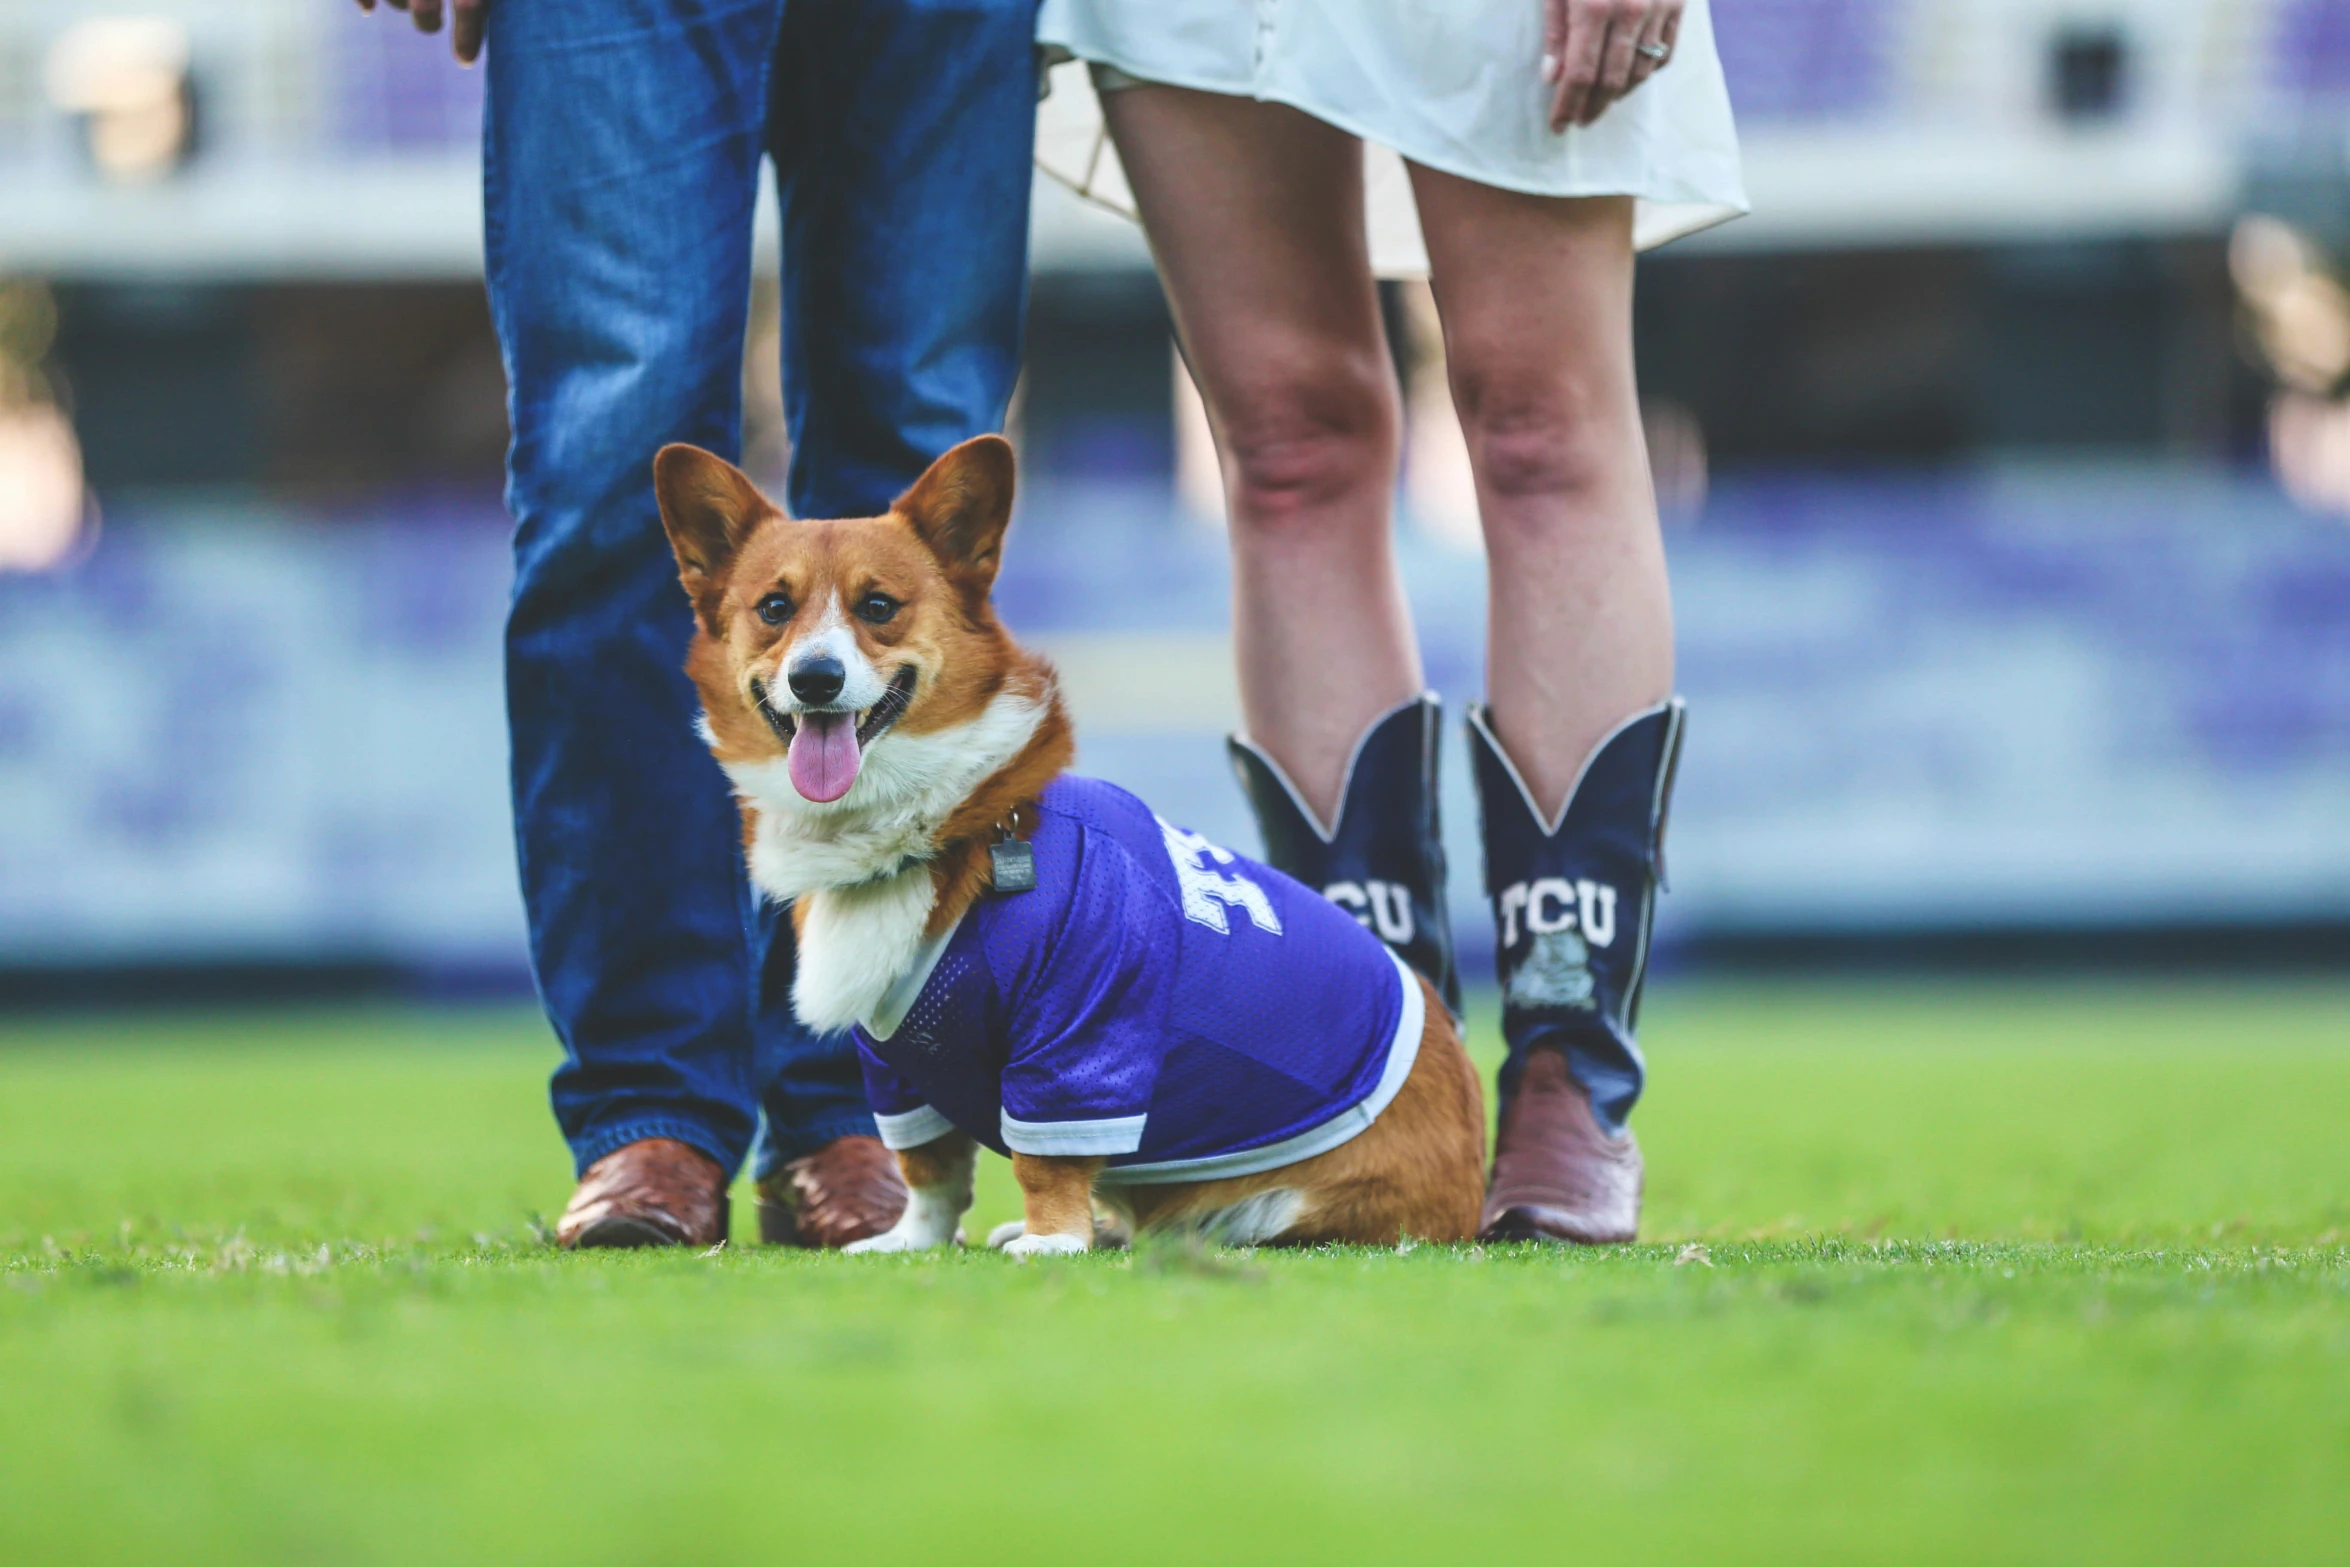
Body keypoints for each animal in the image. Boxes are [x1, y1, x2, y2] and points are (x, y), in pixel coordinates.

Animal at [653, 434, 1475, 1259]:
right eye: (775, 608)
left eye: (878, 606)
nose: (815, 678)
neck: (938, 825)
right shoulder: (894, 1066)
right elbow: (927, 1169)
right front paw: (911, 1239)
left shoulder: (1079, 1033)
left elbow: (1044, 1157)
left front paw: (1052, 1238)